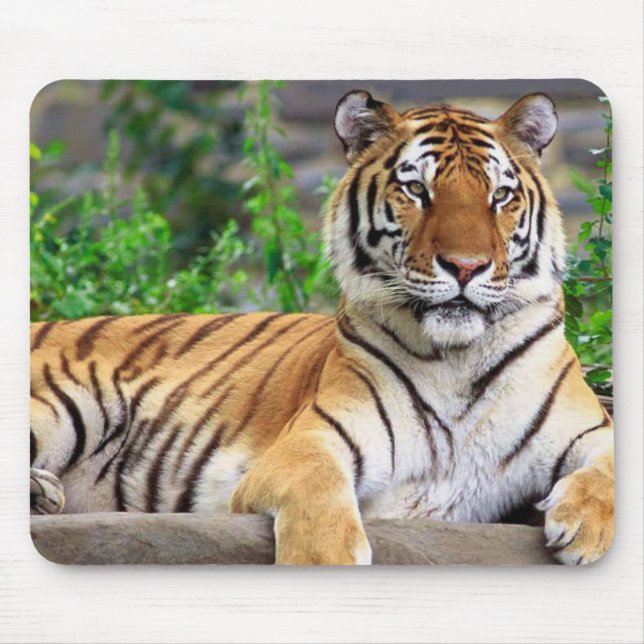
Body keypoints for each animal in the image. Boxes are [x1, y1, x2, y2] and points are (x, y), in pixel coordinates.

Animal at [30, 90, 614, 566]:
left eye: (500, 197)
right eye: (417, 191)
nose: (466, 266)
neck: (457, 359)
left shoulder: (589, 428)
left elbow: (610, 465)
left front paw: (584, 528)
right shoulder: (311, 440)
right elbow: (319, 492)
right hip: (64, 408)